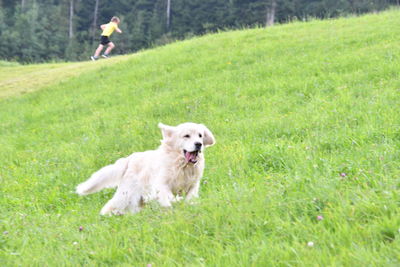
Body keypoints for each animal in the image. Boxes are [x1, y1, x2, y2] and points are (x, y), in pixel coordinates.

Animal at [77, 122, 217, 216]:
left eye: (200, 135)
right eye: (186, 136)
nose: (198, 144)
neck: (181, 165)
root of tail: (130, 158)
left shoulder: (193, 185)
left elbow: (190, 198)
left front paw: (189, 205)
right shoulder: (161, 184)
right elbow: (168, 196)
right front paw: (175, 202)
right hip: (125, 195)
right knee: (111, 205)